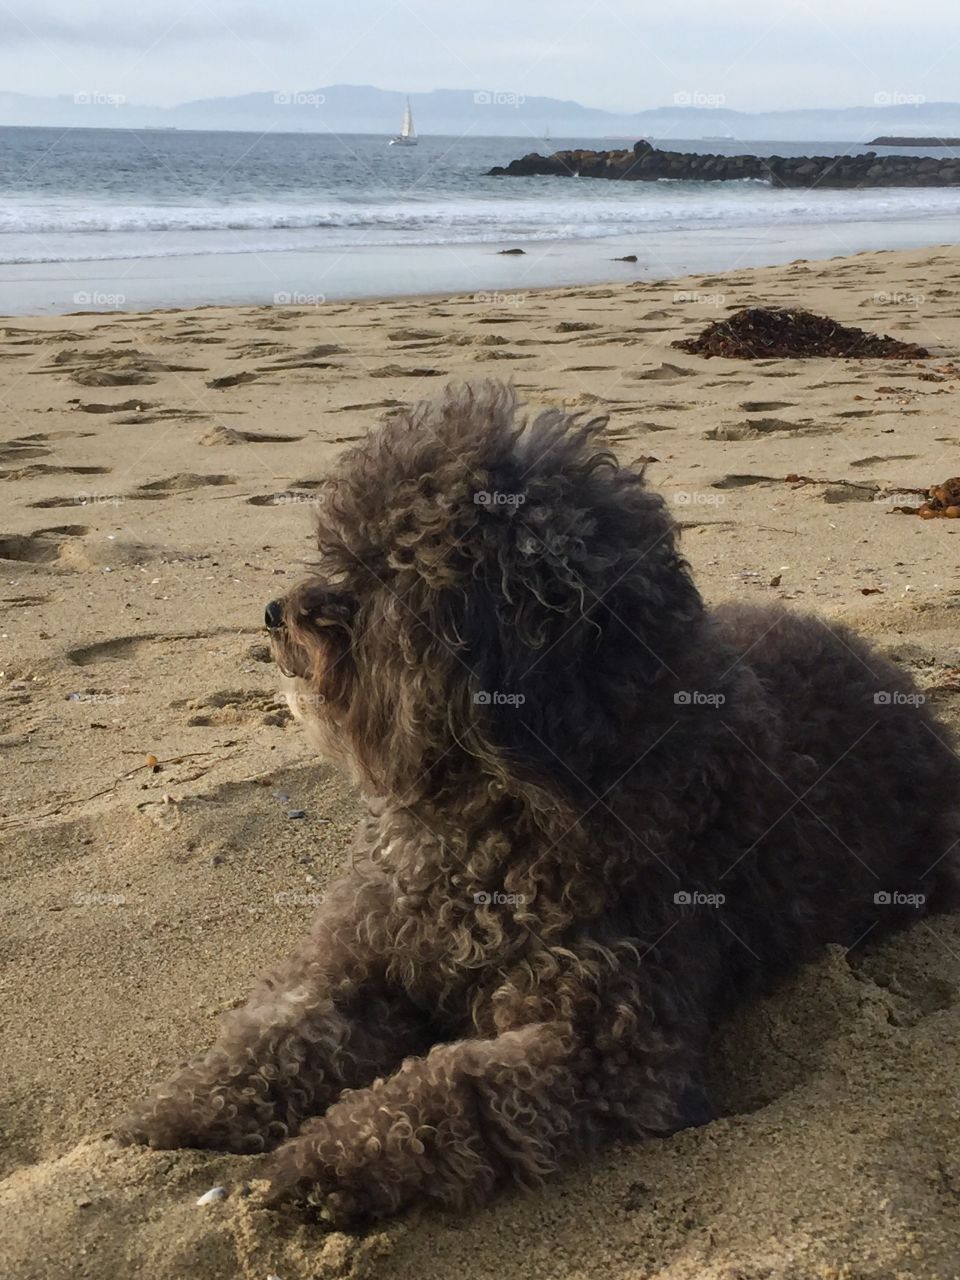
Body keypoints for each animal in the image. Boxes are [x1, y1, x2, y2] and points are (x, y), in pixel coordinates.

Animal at [120, 381, 960, 1228]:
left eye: (387, 571)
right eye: (336, 549)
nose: (273, 613)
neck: (493, 806)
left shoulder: (605, 1047)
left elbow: (449, 1092)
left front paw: (319, 1163)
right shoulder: (361, 957)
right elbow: (282, 1030)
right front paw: (186, 1112)